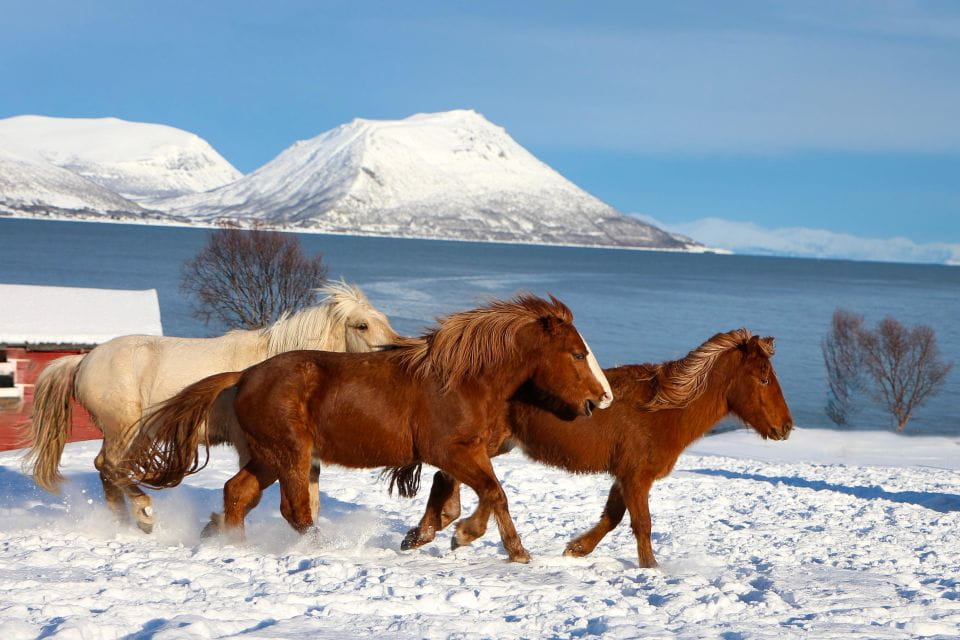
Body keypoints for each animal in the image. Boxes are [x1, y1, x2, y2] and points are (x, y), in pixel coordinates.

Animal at [23, 281, 400, 533]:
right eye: (362, 325)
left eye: (384, 319)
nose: (395, 353)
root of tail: (83, 361)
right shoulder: (254, 448)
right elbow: (252, 494)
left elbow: (311, 498)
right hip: (124, 428)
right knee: (110, 467)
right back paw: (144, 514)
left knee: (109, 473)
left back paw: (122, 523)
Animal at [119, 294, 614, 563]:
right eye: (576, 353)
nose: (600, 399)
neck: (463, 380)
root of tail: (244, 376)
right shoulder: (453, 452)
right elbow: (493, 494)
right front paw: (501, 547)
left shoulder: (462, 453)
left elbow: (457, 499)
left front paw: (431, 535)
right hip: (290, 453)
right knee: (294, 510)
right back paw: (322, 547)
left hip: (267, 456)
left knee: (237, 492)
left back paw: (233, 542)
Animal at [401, 329, 793, 568]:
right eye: (763, 378)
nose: (786, 427)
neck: (663, 410)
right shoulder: (637, 477)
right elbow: (642, 524)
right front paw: (650, 568)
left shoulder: (626, 476)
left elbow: (613, 517)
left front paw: (577, 548)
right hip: (485, 442)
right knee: (476, 485)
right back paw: (458, 531)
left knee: (455, 479)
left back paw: (431, 530)